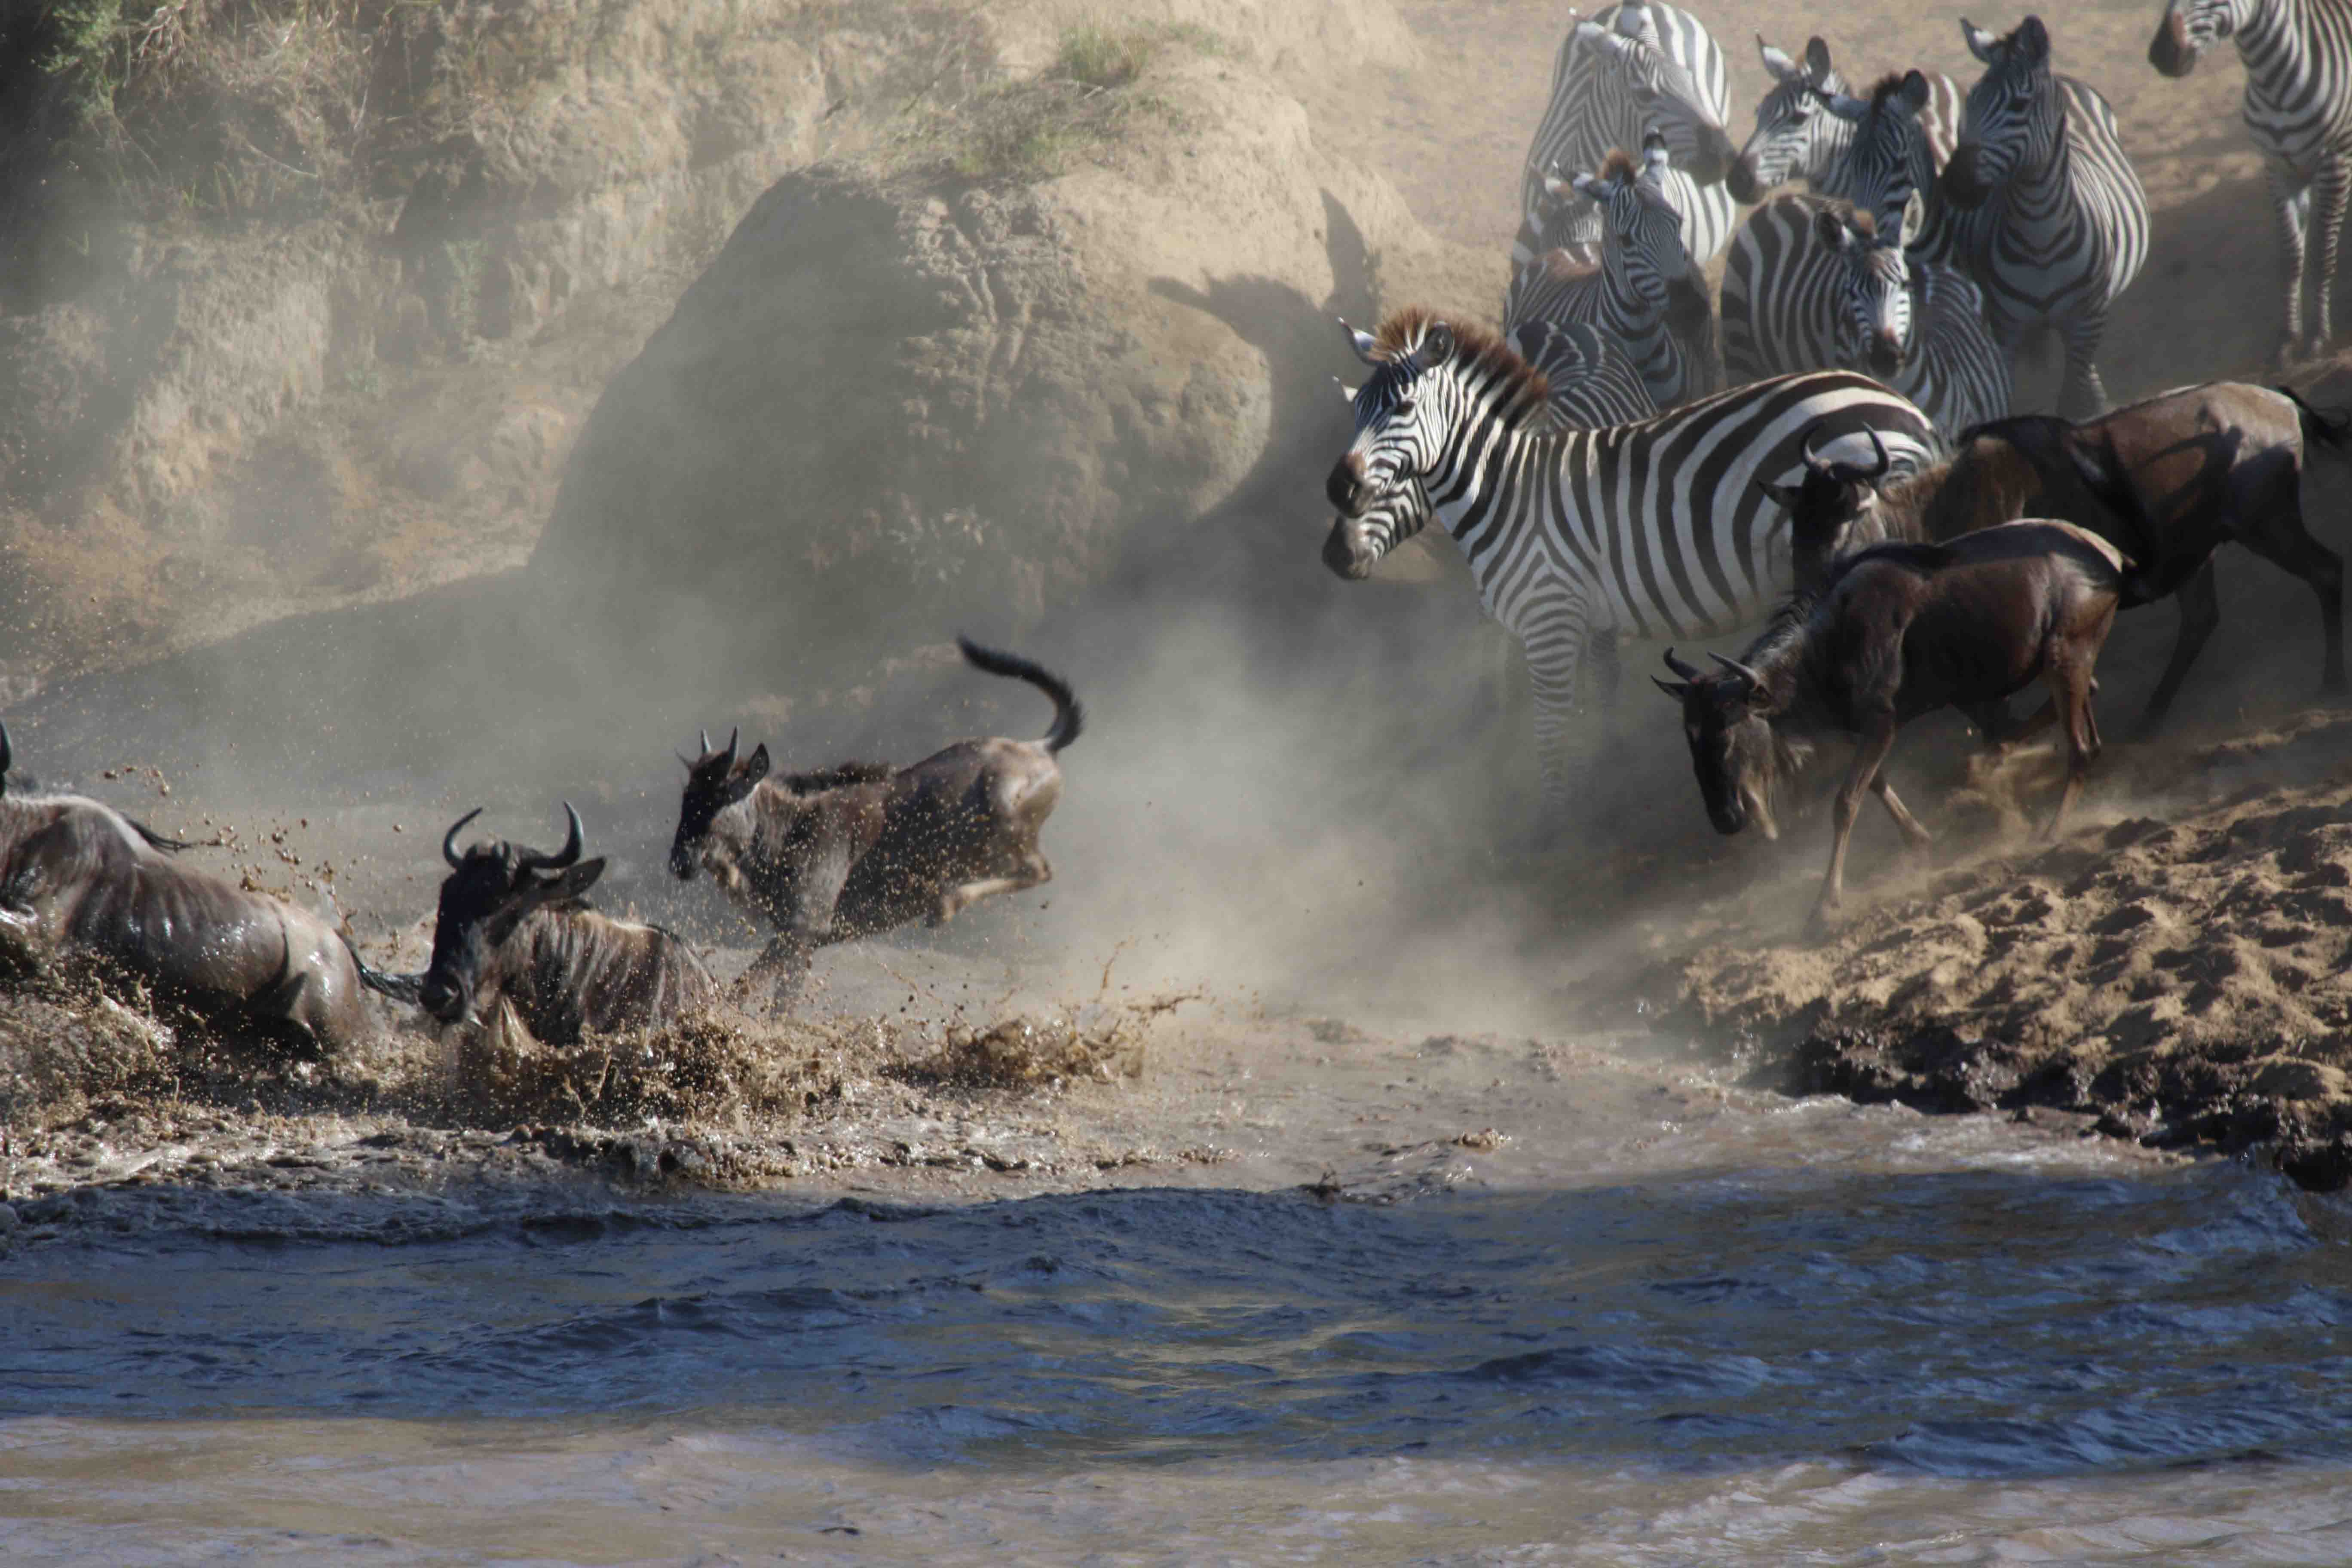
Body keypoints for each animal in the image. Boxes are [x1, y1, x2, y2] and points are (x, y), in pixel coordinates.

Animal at [1322, 309, 1939, 817]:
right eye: (1355, 411)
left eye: (1403, 408)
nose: (1337, 495)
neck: (1504, 493)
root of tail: (1898, 403)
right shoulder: (1576, 617)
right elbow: (1578, 691)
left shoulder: (1549, 620)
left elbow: (1548, 728)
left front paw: (1554, 827)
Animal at [1940, 16, 2151, 419]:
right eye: (1970, 103)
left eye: (2020, 104)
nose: (1956, 185)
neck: (2040, 237)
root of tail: (2064, 79)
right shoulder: (2005, 328)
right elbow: (2004, 399)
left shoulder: (2086, 322)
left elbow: (2074, 402)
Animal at [2149, 0, 2352, 363]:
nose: (2161, 55)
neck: (2273, 82)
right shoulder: (2277, 169)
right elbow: (2291, 256)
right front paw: (2288, 338)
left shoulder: (2335, 161)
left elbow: (2321, 256)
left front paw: (2318, 337)